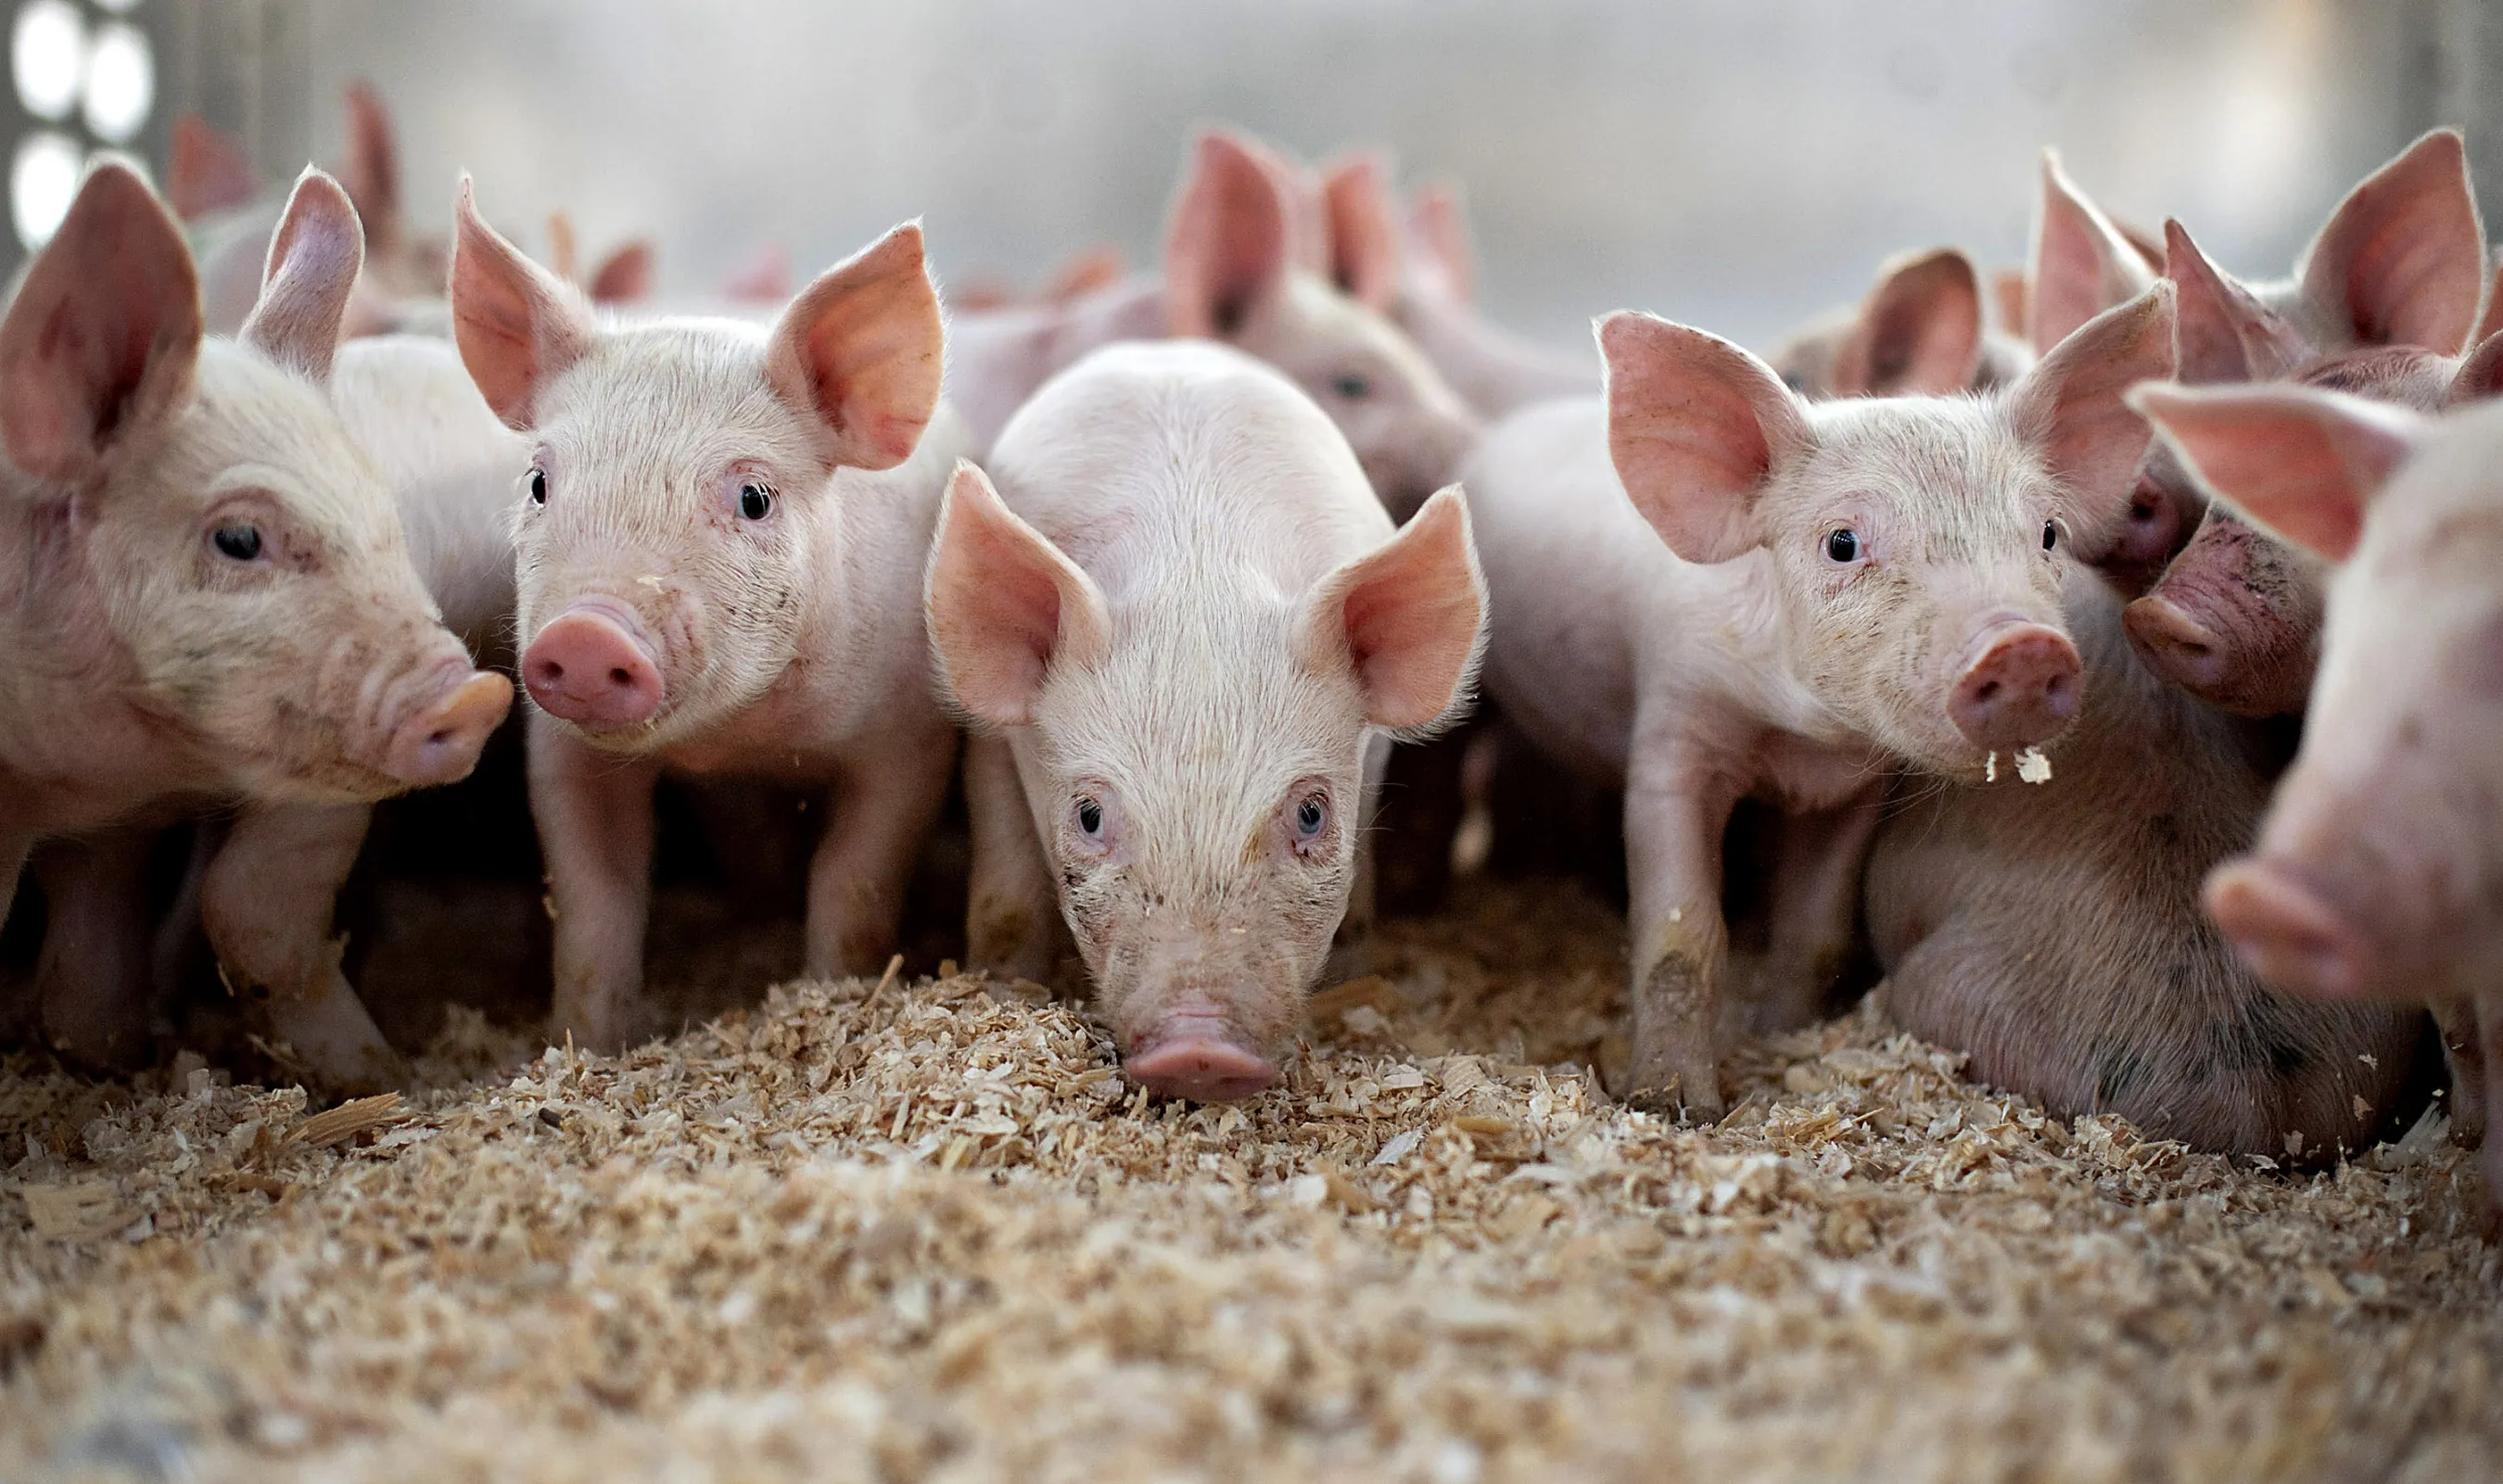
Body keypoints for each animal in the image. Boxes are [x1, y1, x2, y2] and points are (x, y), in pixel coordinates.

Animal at [0, 163, 510, 1076]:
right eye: (238, 539)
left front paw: (380, 1079)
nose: (477, 695)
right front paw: (109, 1056)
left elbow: (244, 907)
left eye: (384, 512)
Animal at [450, 182, 968, 1052]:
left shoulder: (911, 736)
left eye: (754, 497)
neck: (741, 739)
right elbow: (594, 898)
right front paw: (591, 1041)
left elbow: (854, 877)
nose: (585, 632)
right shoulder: (562, 752)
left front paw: (828, 992)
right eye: (539, 483)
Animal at [925, 341, 1486, 1101]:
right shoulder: (996, 740)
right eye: (1089, 816)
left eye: (1312, 812)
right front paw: (1011, 987)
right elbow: (1005, 902)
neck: (1197, 580)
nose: (1200, 1048)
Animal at [1464, 284, 2177, 1116]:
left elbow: (1816, 927)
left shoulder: (1859, 788)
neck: (1798, 738)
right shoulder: (1673, 728)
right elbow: (1681, 936)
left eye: (2049, 533)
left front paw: (1782, 1035)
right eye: (1842, 542)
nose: (2023, 647)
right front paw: (1674, 1105)